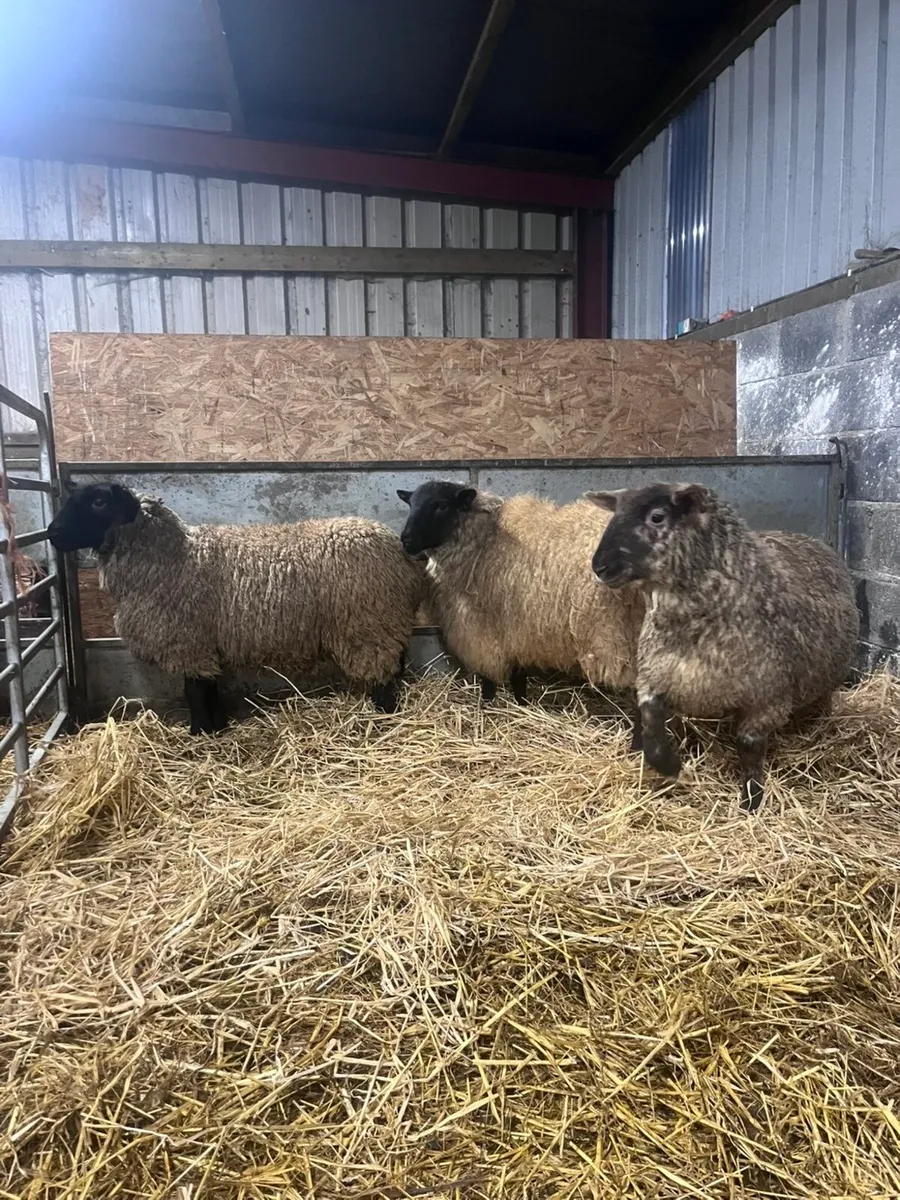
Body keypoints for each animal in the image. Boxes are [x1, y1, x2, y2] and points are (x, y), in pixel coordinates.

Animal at [48, 482, 425, 734]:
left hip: (368, 624)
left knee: (383, 679)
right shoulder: (206, 645)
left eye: (98, 502)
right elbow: (209, 688)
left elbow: (194, 692)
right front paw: (217, 726)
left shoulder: (188, 642)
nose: (52, 532)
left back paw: (383, 718)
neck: (171, 557)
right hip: (385, 625)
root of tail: (399, 551)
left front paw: (199, 733)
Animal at [398, 480, 645, 739]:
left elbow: (489, 679)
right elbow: (518, 676)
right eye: (411, 503)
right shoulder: (517, 627)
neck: (484, 539)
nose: (406, 540)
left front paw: (487, 708)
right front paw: (521, 704)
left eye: (442, 505)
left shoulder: (482, 631)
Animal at [587, 482, 859, 812]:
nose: (599, 566)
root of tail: (812, 540)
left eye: (657, 516)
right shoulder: (656, 677)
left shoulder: (768, 700)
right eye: (616, 512)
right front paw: (667, 765)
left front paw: (752, 800)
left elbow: (749, 747)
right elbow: (650, 722)